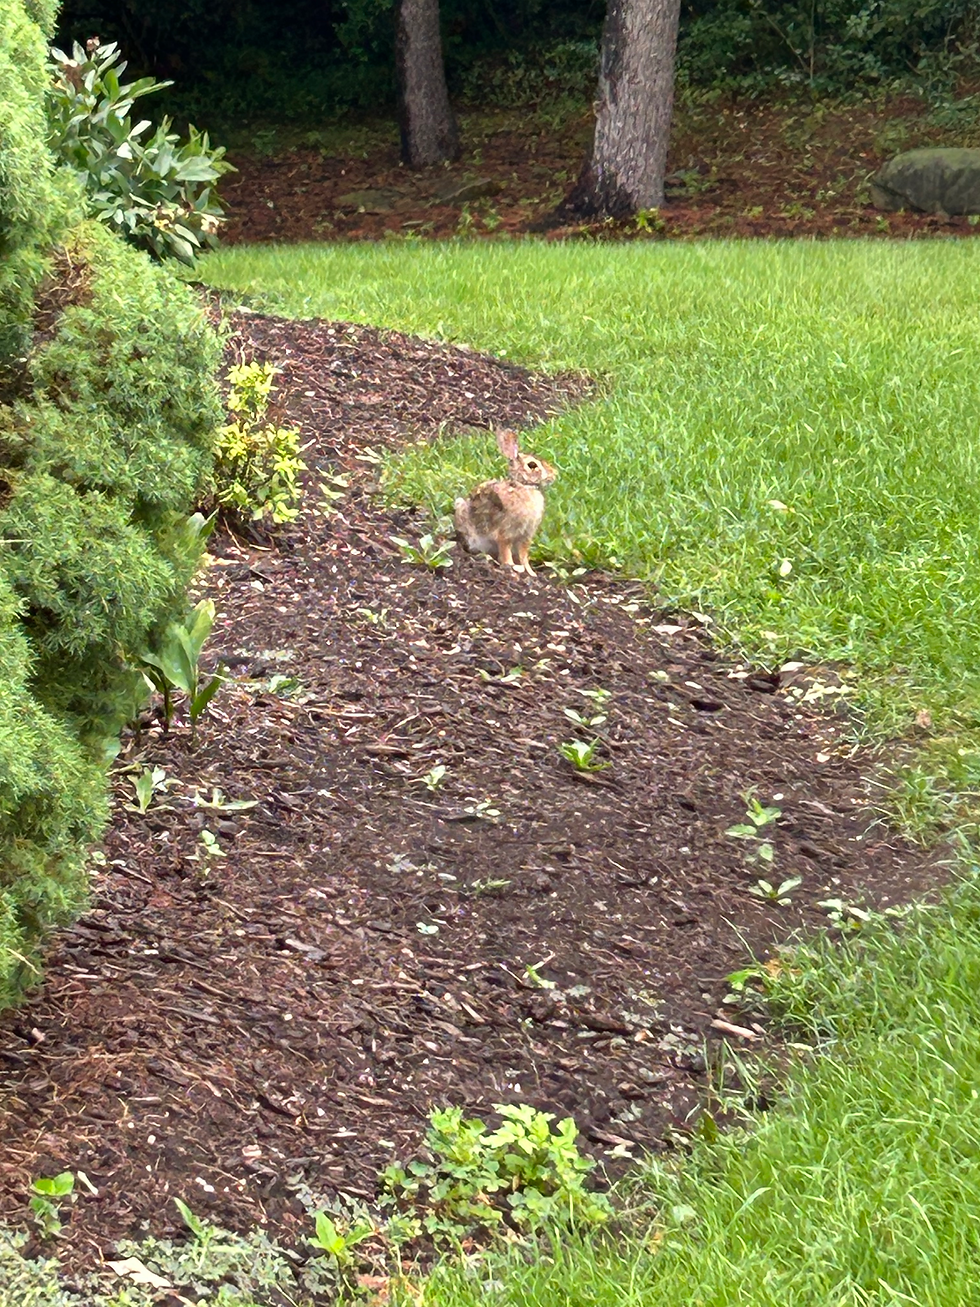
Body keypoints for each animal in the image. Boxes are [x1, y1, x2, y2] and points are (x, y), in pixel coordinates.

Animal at [453, 427, 557, 575]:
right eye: (532, 465)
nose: (554, 474)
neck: (522, 485)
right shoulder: (504, 533)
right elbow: (506, 550)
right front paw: (510, 566)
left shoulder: (526, 536)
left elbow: (524, 555)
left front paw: (531, 573)